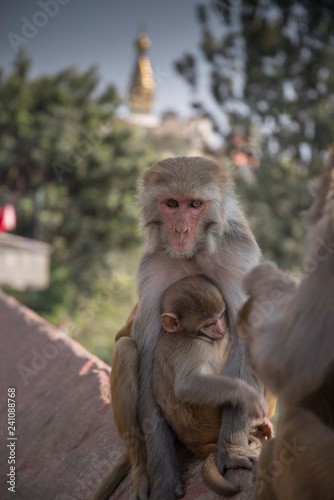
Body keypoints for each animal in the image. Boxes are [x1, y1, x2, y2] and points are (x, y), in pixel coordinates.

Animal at [154, 276, 272, 498]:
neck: (187, 334)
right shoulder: (197, 346)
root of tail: (195, 445)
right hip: (208, 419)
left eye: (221, 316)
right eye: (209, 323)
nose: (221, 329)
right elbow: (187, 385)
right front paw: (247, 394)